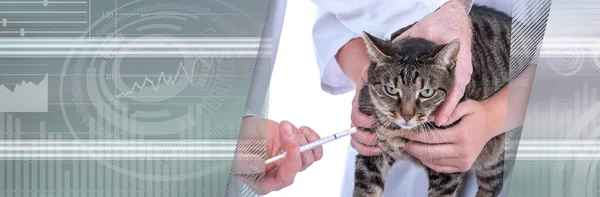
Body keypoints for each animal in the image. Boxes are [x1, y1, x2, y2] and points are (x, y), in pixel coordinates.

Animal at [352, 4, 510, 197]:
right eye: (391, 90)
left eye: (427, 92)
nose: (406, 116)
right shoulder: (370, 152)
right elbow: (365, 190)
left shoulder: (447, 166)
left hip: (496, 155)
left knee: (491, 185)